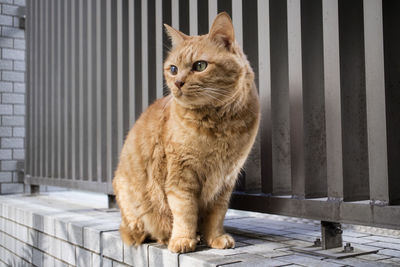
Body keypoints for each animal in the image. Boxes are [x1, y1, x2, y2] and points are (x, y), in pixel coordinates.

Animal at [112, 12, 260, 253]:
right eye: (173, 69)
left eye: (200, 65)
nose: (178, 82)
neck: (218, 126)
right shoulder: (180, 175)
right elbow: (184, 211)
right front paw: (182, 239)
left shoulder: (225, 179)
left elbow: (217, 214)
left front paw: (216, 237)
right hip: (131, 204)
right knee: (143, 231)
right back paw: (168, 237)